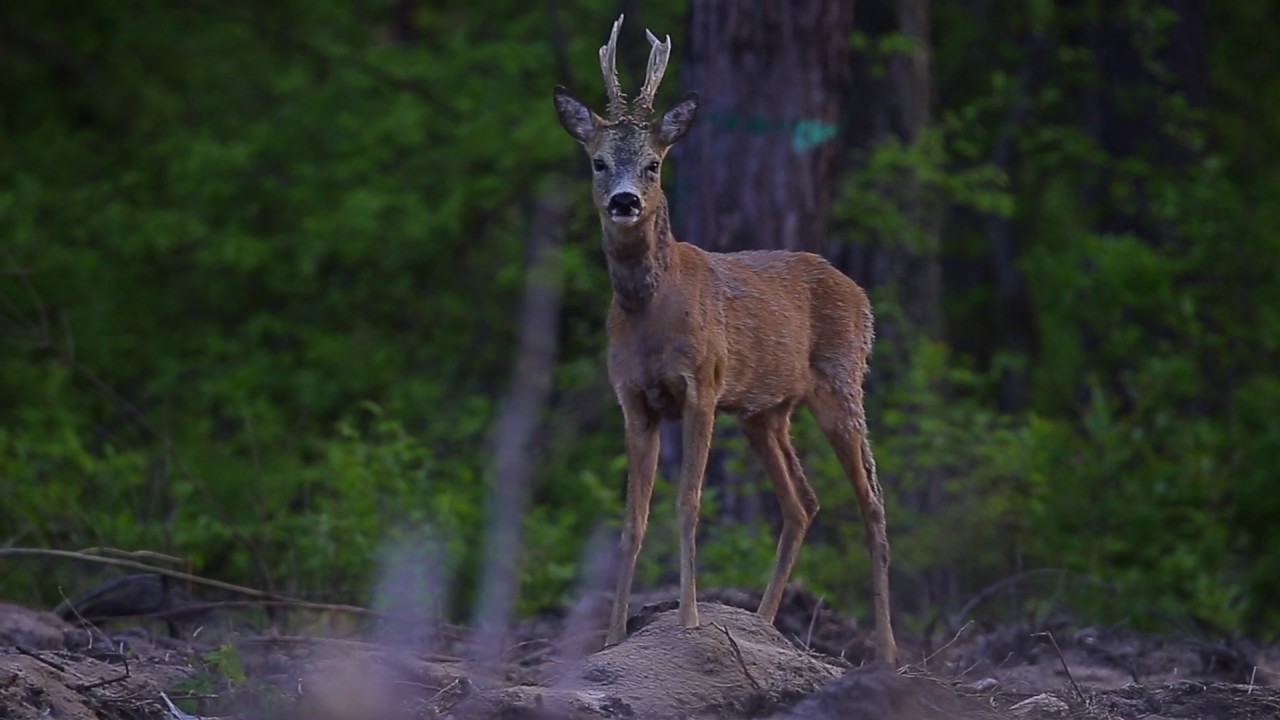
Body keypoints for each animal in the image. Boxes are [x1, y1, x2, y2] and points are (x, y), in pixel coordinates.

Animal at [552, 15, 898, 666]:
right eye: (598, 162)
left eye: (654, 163)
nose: (625, 202)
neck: (651, 309)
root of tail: (861, 294)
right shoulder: (634, 400)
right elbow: (633, 520)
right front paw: (611, 638)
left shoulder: (703, 387)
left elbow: (688, 504)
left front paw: (688, 621)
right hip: (767, 412)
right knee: (803, 501)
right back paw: (761, 625)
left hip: (842, 384)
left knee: (871, 500)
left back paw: (889, 651)